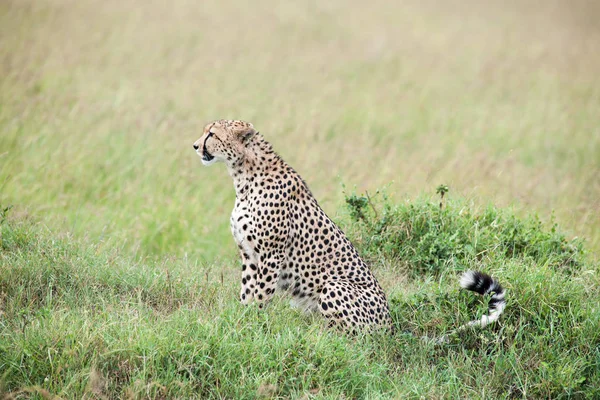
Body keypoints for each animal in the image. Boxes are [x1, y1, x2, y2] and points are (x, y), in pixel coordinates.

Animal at [193, 120, 506, 332]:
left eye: (212, 134)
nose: (195, 146)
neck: (243, 175)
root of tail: (390, 327)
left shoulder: (271, 255)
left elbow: (259, 296)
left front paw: (251, 325)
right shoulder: (249, 254)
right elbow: (246, 293)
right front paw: (239, 319)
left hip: (333, 286)